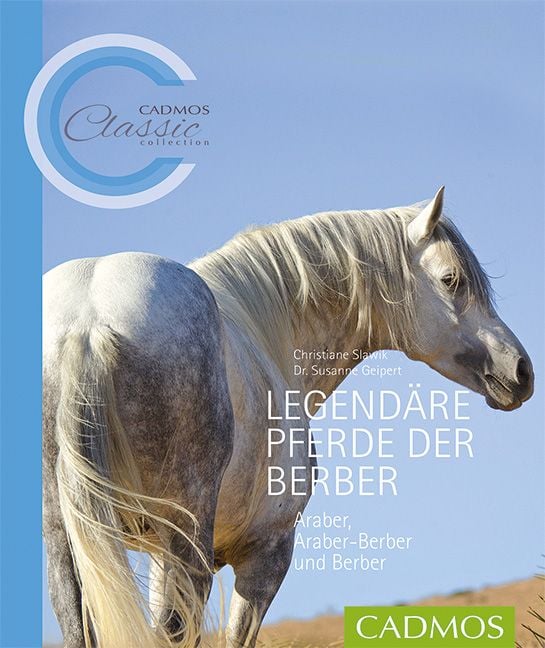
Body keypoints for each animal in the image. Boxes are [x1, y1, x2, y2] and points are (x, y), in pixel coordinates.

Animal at [43, 187, 534, 648]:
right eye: (451, 280)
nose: (522, 371)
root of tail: (86, 324)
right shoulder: (267, 554)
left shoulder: (161, 559)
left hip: (69, 544)